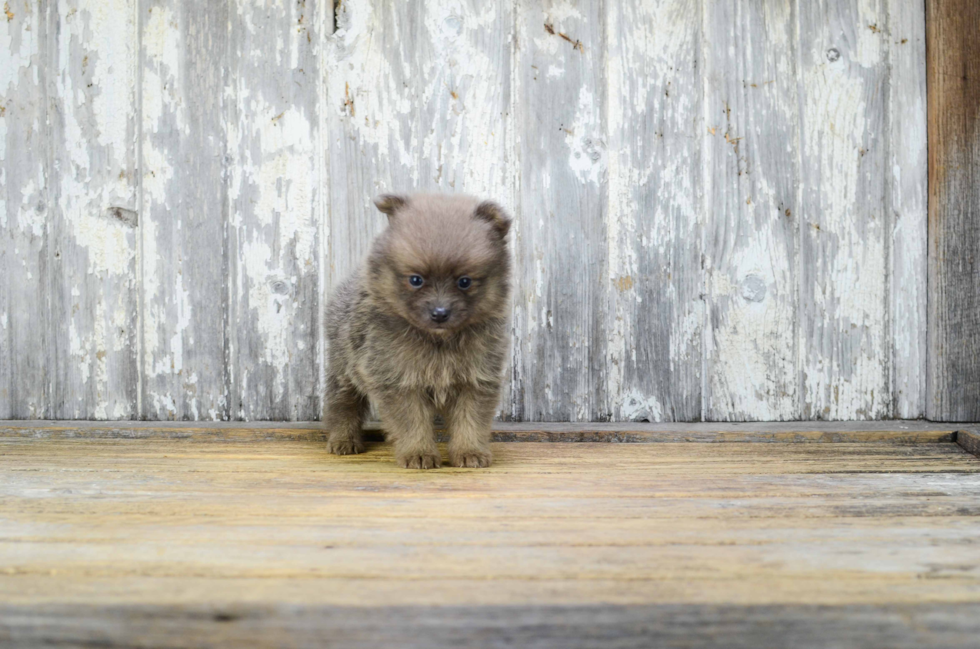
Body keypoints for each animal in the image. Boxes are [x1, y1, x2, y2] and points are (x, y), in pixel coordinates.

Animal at [328, 190, 516, 468]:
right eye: (416, 280)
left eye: (464, 282)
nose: (439, 313)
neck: (438, 341)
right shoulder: (398, 379)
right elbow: (411, 421)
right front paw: (418, 453)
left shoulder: (476, 377)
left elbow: (470, 419)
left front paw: (469, 452)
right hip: (343, 368)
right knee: (343, 403)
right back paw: (343, 440)